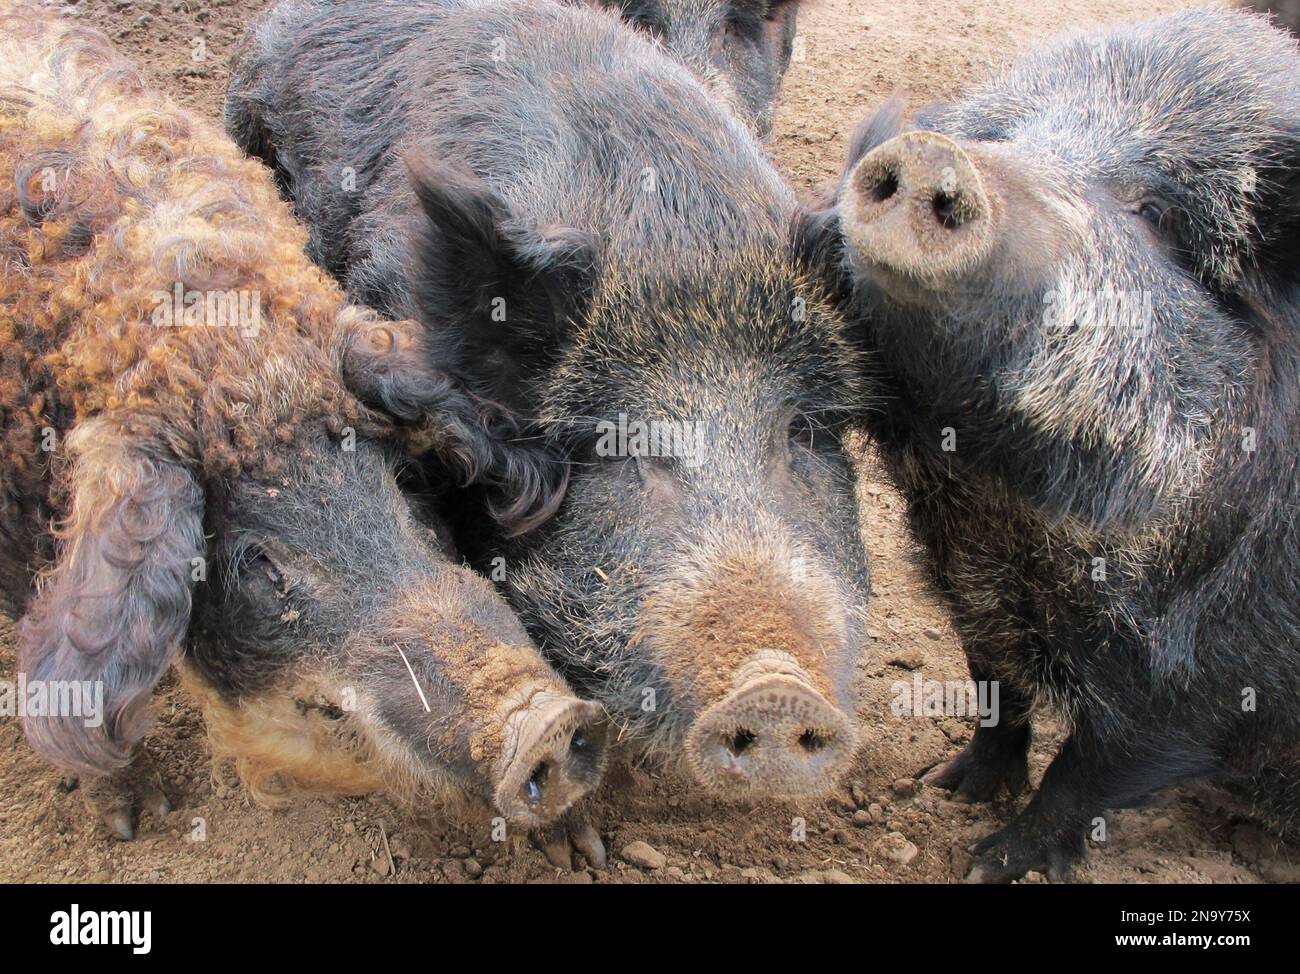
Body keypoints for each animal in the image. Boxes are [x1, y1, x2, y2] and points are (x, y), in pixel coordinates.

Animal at [795, 7, 1300, 879]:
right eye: (1004, 134)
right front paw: (945, 789)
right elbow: (994, 687)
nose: (930, 152)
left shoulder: (1217, 673)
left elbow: (1090, 772)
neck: (1007, 508)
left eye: (1155, 214)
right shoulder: (967, 584)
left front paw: (990, 862)